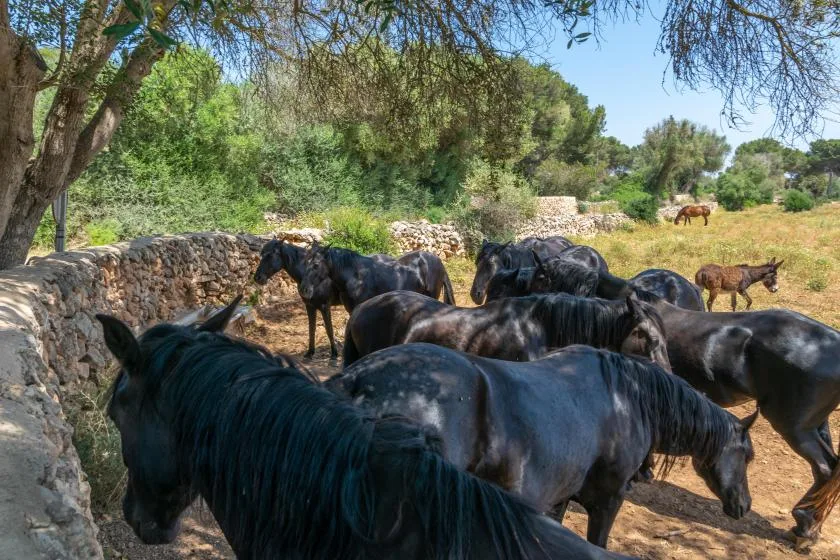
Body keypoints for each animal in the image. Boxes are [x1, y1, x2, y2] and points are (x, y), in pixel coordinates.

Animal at [328, 343, 756, 549]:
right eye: (747, 456)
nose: (744, 506)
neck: (628, 396)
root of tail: (356, 378)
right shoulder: (608, 501)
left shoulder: (559, 498)